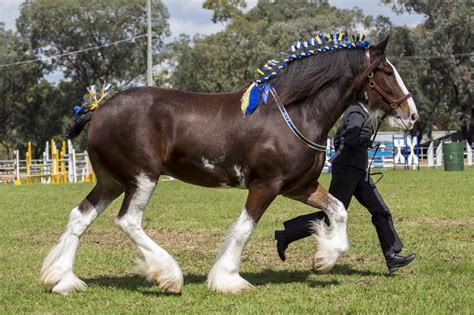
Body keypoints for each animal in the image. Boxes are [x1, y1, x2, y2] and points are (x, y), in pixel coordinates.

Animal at [41, 35, 418, 296]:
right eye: (386, 71)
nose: (412, 115)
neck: (295, 113)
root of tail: (98, 110)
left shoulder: (299, 186)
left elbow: (337, 209)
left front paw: (323, 259)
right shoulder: (265, 185)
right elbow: (244, 229)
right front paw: (228, 279)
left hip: (111, 180)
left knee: (80, 217)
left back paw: (63, 280)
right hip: (142, 178)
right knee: (128, 221)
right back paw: (168, 275)